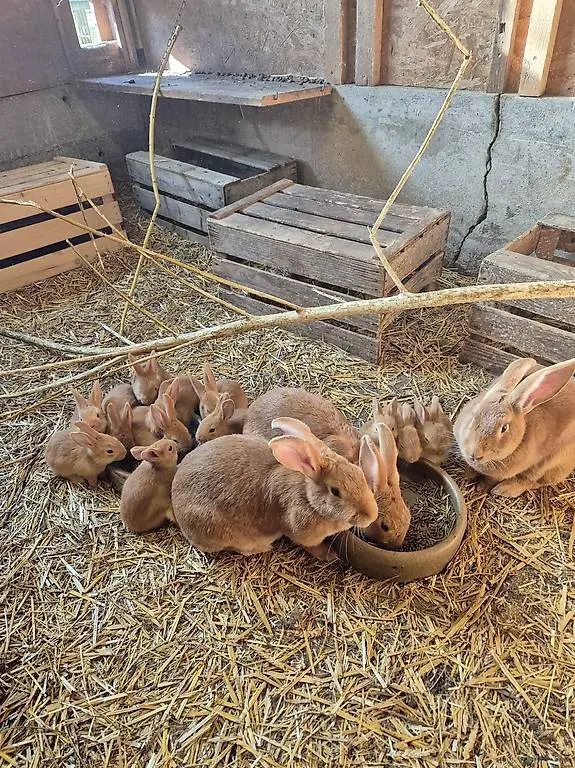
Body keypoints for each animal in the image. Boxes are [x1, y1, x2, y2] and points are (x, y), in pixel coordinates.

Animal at [171, 417, 379, 560]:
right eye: (335, 492)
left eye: (358, 472)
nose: (372, 515)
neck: (309, 499)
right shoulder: (300, 532)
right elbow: (310, 546)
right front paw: (329, 554)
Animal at [454, 356, 575, 497]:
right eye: (474, 415)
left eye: (504, 428)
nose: (475, 454)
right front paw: (467, 475)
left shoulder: (500, 475)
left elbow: (490, 480)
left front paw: (481, 488)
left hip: (549, 465)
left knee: (534, 482)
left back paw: (503, 489)